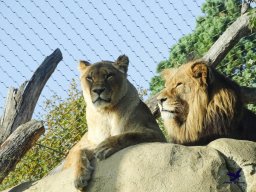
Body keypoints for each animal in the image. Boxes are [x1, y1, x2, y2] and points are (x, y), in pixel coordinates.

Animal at [63, 55, 165, 190]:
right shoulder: (84, 145)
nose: (98, 90)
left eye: (109, 75)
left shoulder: (156, 132)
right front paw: (80, 178)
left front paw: (105, 146)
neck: (106, 112)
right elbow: (77, 153)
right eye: (89, 78)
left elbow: (129, 135)